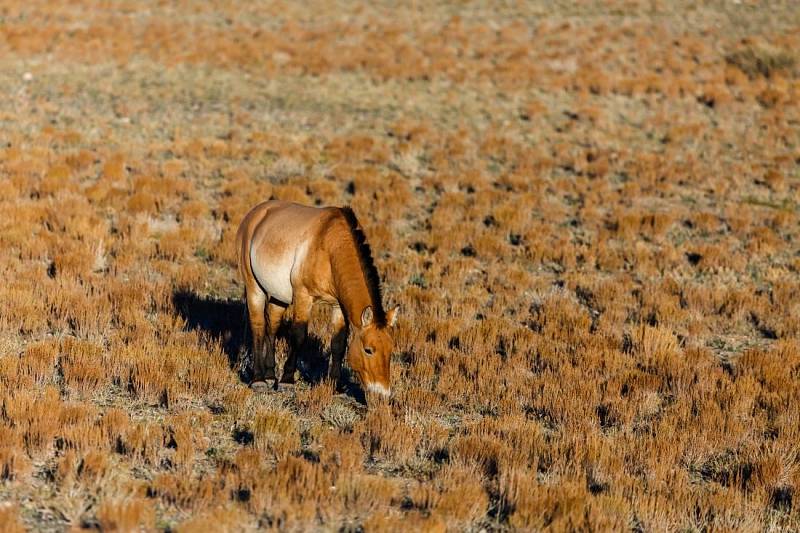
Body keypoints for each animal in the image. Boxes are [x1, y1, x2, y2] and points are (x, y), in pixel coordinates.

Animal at [238, 200, 400, 394]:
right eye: (368, 350)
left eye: (390, 349)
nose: (382, 393)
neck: (331, 247)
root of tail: (254, 214)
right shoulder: (303, 297)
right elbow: (299, 336)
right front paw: (287, 381)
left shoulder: (338, 307)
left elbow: (338, 344)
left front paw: (334, 385)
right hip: (254, 287)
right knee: (258, 327)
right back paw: (259, 380)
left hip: (279, 296)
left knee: (272, 326)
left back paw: (270, 376)